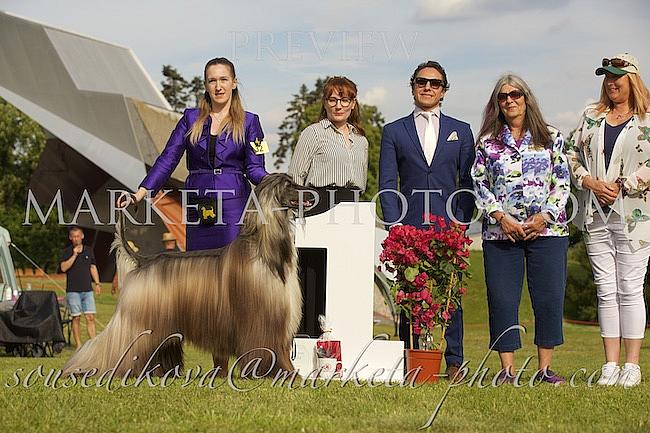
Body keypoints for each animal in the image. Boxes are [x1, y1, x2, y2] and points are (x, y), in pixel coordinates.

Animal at [63, 174, 313, 378]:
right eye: (289, 185)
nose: (312, 192)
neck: (263, 249)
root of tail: (143, 261)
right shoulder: (261, 316)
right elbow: (268, 348)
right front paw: (283, 375)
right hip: (137, 318)